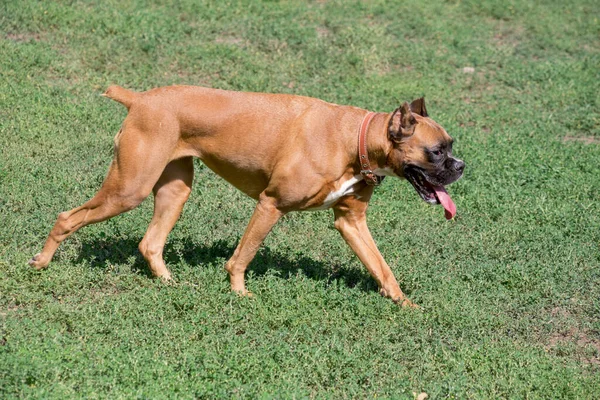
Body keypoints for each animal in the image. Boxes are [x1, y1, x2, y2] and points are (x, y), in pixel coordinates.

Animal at [29, 85, 464, 306]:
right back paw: (40, 264)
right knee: (68, 217)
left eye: (451, 146)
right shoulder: (270, 205)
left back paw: (171, 284)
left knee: (150, 243)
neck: (354, 139)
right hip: (127, 189)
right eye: (436, 151)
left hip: (174, 192)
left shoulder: (351, 222)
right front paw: (240, 295)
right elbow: (242, 256)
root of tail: (141, 98)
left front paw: (405, 305)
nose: (460, 167)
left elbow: (382, 268)